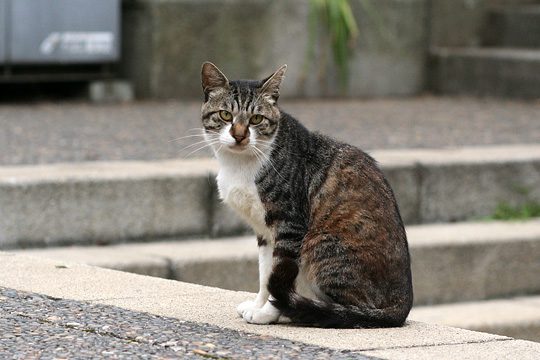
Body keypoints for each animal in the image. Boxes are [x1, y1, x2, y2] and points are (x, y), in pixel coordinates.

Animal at [199, 62, 414, 330]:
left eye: (256, 119)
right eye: (225, 115)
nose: (239, 135)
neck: (240, 165)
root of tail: (402, 305)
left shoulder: (289, 225)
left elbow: (279, 274)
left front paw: (268, 312)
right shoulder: (264, 232)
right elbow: (265, 274)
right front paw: (259, 305)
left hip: (319, 243)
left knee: (350, 311)